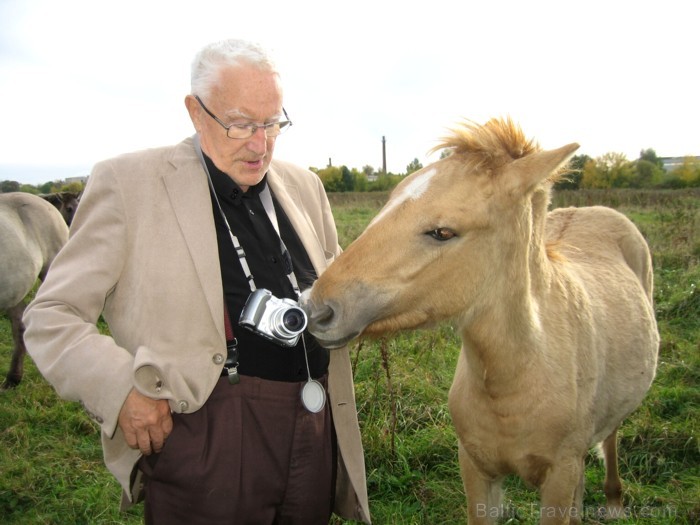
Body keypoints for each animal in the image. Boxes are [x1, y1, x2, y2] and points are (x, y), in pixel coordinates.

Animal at [302, 116, 660, 520]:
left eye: (443, 232)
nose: (316, 309)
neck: (512, 383)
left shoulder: (559, 475)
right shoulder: (476, 468)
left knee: (611, 438)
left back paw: (613, 503)